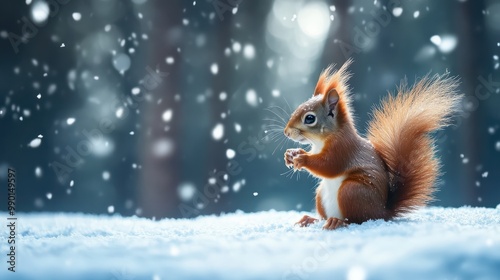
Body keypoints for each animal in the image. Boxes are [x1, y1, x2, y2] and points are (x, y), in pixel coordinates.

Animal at [284, 59, 462, 230]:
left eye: (309, 118)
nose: (286, 132)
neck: (321, 141)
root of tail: (382, 212)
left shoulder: (343, 148)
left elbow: (329, 165)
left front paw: (302, 159)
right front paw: (291, 154)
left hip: (352, 192)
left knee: (357, 220)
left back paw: (338, 222)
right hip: (321, 194)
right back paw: (310, 219)